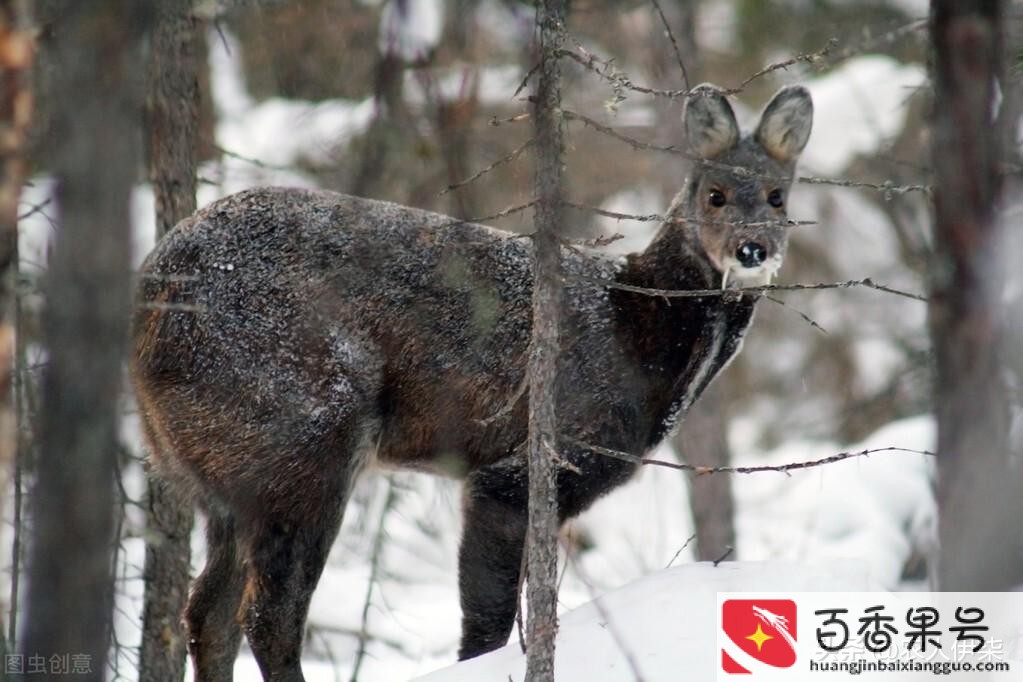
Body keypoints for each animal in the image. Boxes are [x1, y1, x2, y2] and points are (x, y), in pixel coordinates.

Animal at [129, 85, 814, 682]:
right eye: (715, 194)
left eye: (778, 196)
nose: (752, 250)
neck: (639, 332)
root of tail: (150, 295)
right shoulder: (526, 466)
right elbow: (485, 626)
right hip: (299, 434)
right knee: (266, 614)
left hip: (224, 473)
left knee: (208, 613)